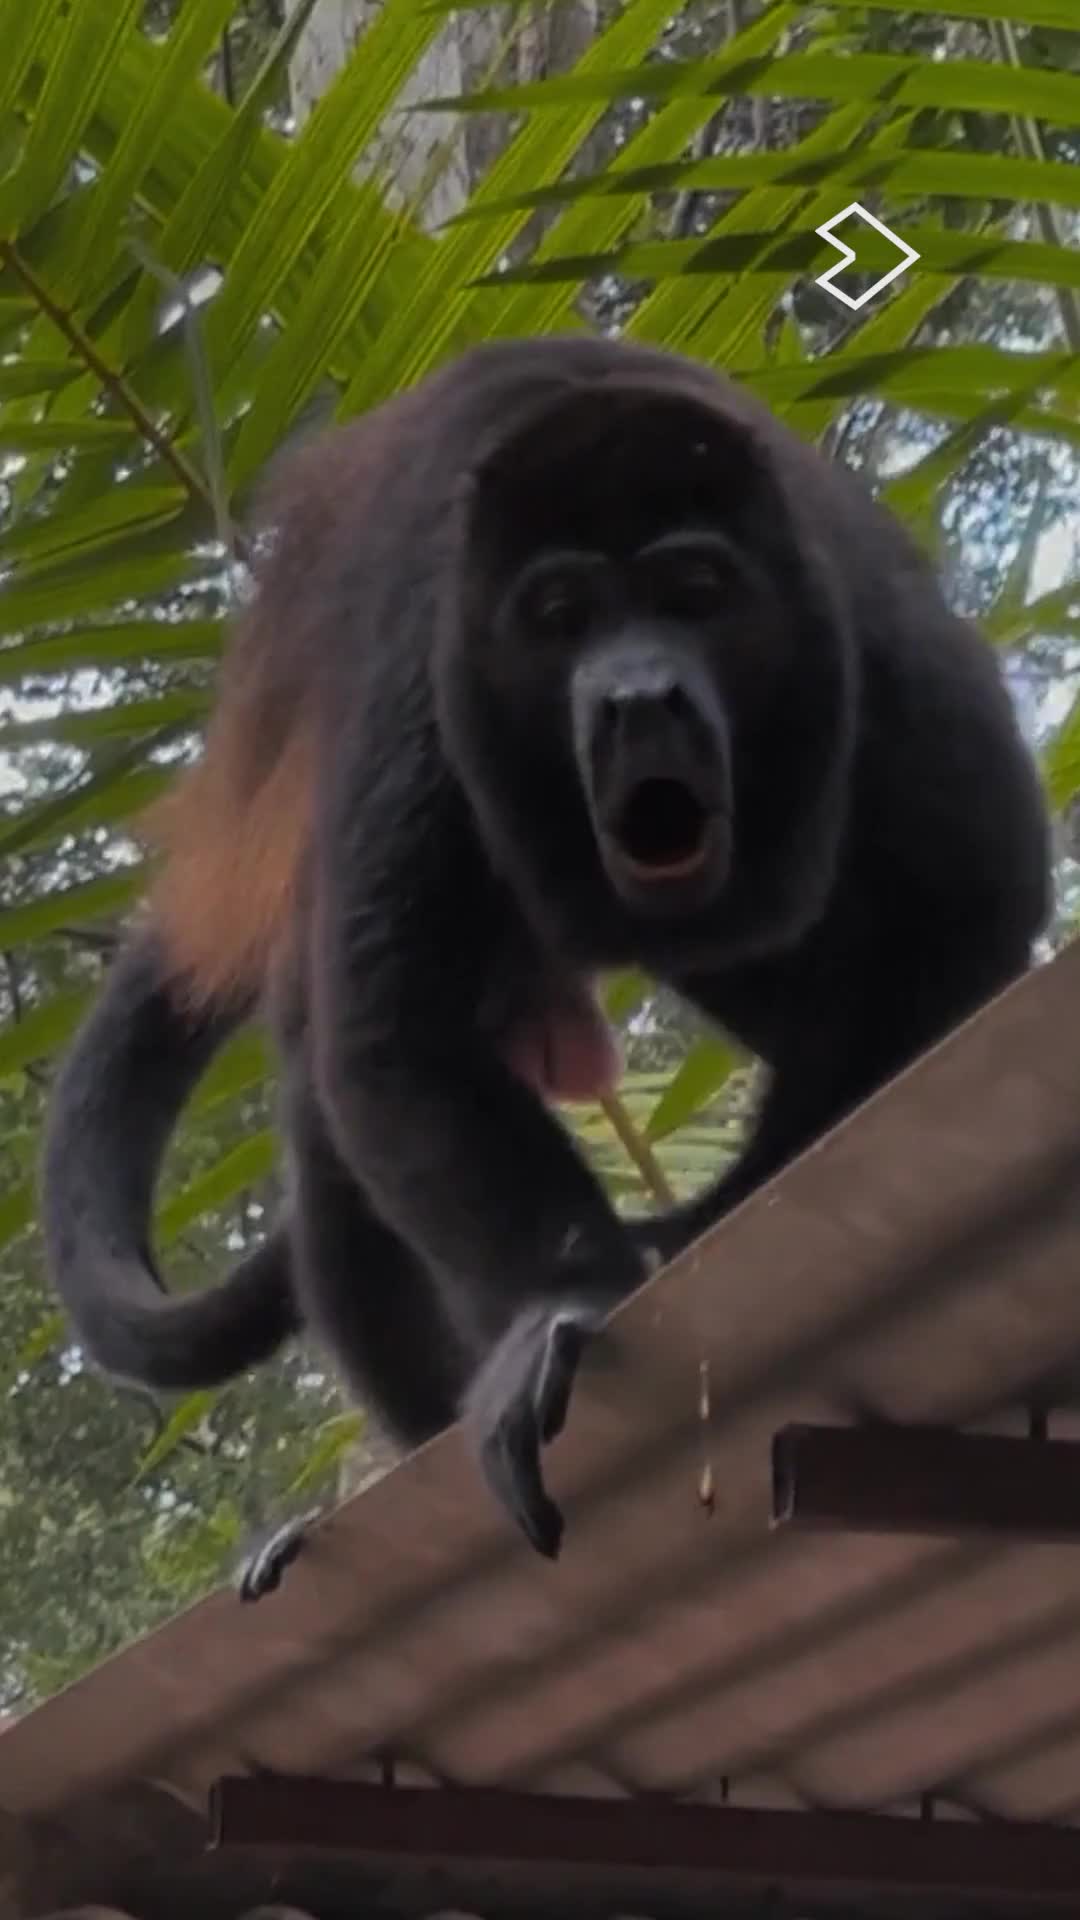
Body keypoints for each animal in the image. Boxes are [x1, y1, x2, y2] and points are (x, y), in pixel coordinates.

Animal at [42, 334, 1052, 1568]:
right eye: (560, 612)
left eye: (696, 592)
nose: (638, 695)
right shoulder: (427, 681)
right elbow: (390, 1041)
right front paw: (561, 1303)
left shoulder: (876, 633)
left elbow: (971, 912)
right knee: (327, 1121)